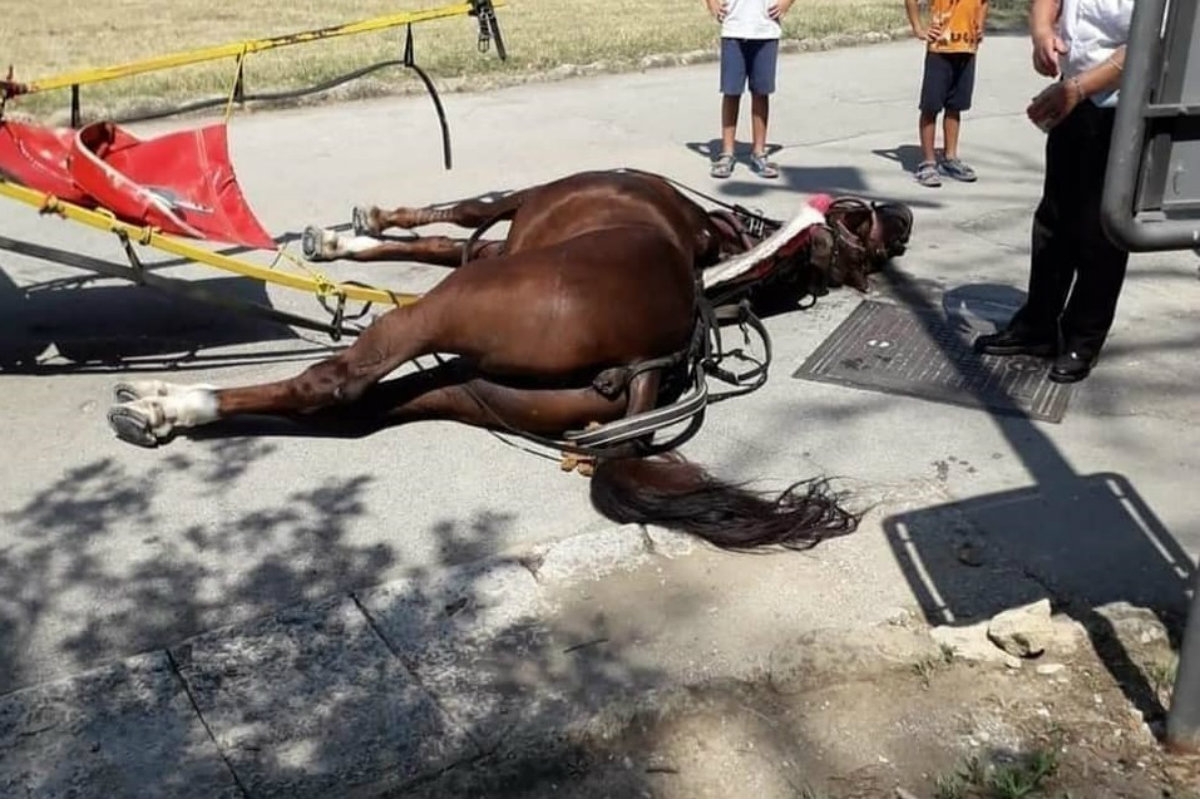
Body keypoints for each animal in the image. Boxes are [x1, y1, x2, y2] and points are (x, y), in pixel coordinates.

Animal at [110, 166, 907, 554]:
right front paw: (344, 241)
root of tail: (648, 360)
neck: (716, 248)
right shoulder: (500, 243)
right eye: (863, 221)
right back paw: (172, 410)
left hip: (442, 312)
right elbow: (439, 239)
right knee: (360, 410)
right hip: (470, 387)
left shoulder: (512, 214)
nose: (902, 217)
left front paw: (354, 232)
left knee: (335, 382)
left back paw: (169, 404)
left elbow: (460, 214)